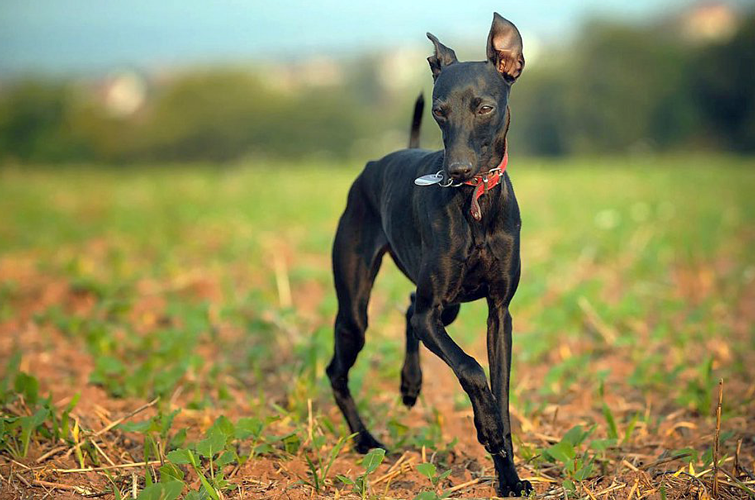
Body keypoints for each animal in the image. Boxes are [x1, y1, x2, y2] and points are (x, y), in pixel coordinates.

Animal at [328, 13, 536, 498]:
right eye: (440, 110)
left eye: (484, 107)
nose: (456, 170)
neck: (475, 202)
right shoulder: (434, 315)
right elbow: (472, 369)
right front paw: (488, 429)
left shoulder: (499, 313)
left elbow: (500, 387)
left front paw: (509, 475)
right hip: (356, 310)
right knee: (336, 369)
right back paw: (365, 440)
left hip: (451, 305)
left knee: (408, 309)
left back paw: (410, 384)